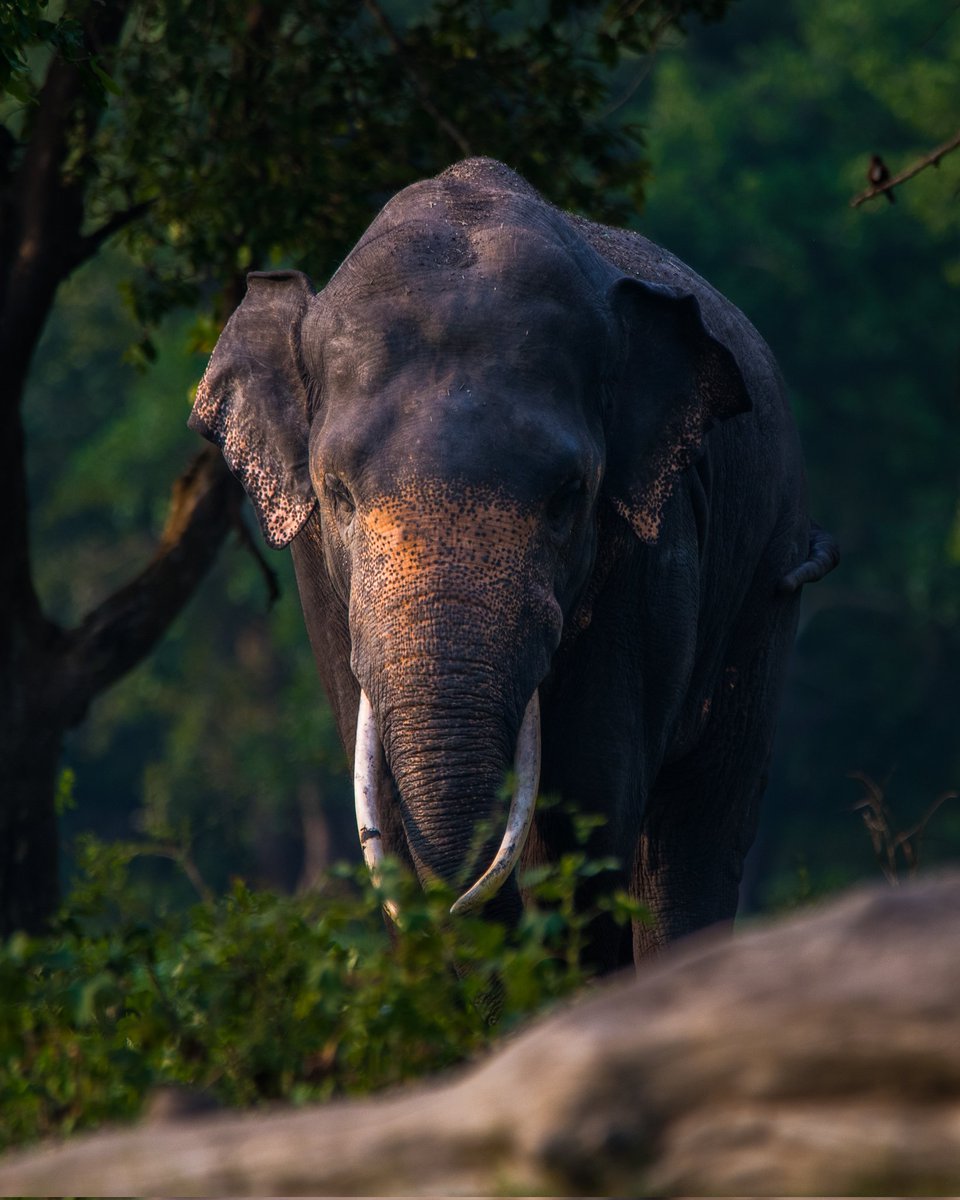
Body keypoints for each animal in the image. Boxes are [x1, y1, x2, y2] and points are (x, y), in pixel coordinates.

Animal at [189, 157, 838, 969]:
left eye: (568, 496)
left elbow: (588, 807)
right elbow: (395, 818)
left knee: (695, 834)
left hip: (769, 576)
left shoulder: (654, 546)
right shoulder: (320, 580)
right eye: (337, 494)